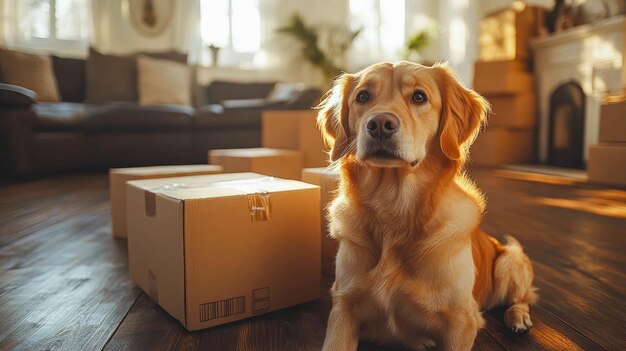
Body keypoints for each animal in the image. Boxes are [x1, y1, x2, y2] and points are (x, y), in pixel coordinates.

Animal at [316, 62, 536, 350]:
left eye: (419, 97)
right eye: (362, 97)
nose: (380, 124)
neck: (394, 212)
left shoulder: (460, 322)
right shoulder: (344, 306)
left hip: (510, 261)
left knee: (522, 298)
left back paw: (518, 317)